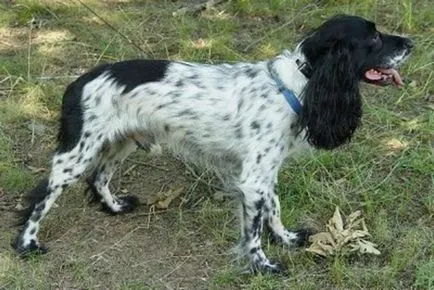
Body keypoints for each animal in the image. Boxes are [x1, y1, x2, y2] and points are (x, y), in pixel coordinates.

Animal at [14, 15, 414, 274]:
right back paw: (27, 244)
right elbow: (253, 230)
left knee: (99, 178)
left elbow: (274, 208)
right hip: (77, 153)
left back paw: (115, 207)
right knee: (41, 197)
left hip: (121, 141)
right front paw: (263, 265)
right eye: (374, 39)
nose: (411, 43)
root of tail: (78, 82)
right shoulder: (253, 179)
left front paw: (286, 238)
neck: (297, 83)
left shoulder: (264, 171)